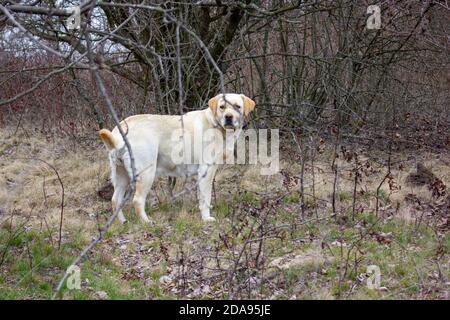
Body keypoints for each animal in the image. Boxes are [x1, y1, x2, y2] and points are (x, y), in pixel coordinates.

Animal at [98, 92, 255, 222]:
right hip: (147, 174)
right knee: (137, 200)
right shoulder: (206, 170)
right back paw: (147, 222)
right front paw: (206, 218)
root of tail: (118, 133)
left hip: (121, 176)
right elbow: (205, 198)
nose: (228, 117)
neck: (216, 125)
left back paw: (123, 222)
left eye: (237, 106)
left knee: (115, 200)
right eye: (222, 107)